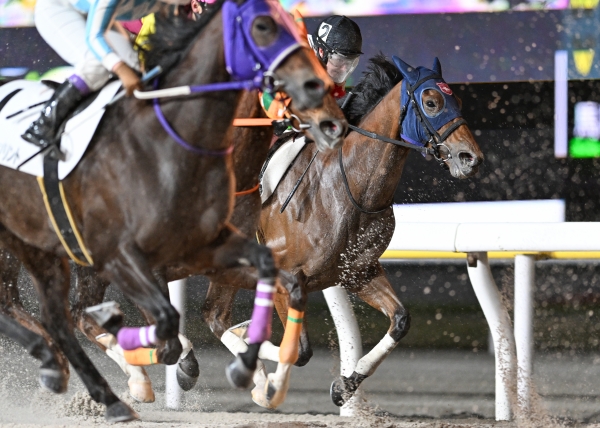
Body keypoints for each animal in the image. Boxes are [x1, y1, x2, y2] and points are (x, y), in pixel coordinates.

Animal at [0, 0, 341, 421]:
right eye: (265, 32)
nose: (332, 117)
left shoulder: (218, 255)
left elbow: (246, 309)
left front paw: (263, 377)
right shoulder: (135, 261)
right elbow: (174, 336)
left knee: (52, 309)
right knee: (58, 310)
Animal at [197, 54, 485, 408]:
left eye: (458, 100)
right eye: (431, 102)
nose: (471, 158)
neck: (348, 190)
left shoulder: (357, 272)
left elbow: (400, 320)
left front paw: (345, 385)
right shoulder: (285, 279)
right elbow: (299, 351)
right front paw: (267, 381)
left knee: (214, 315)